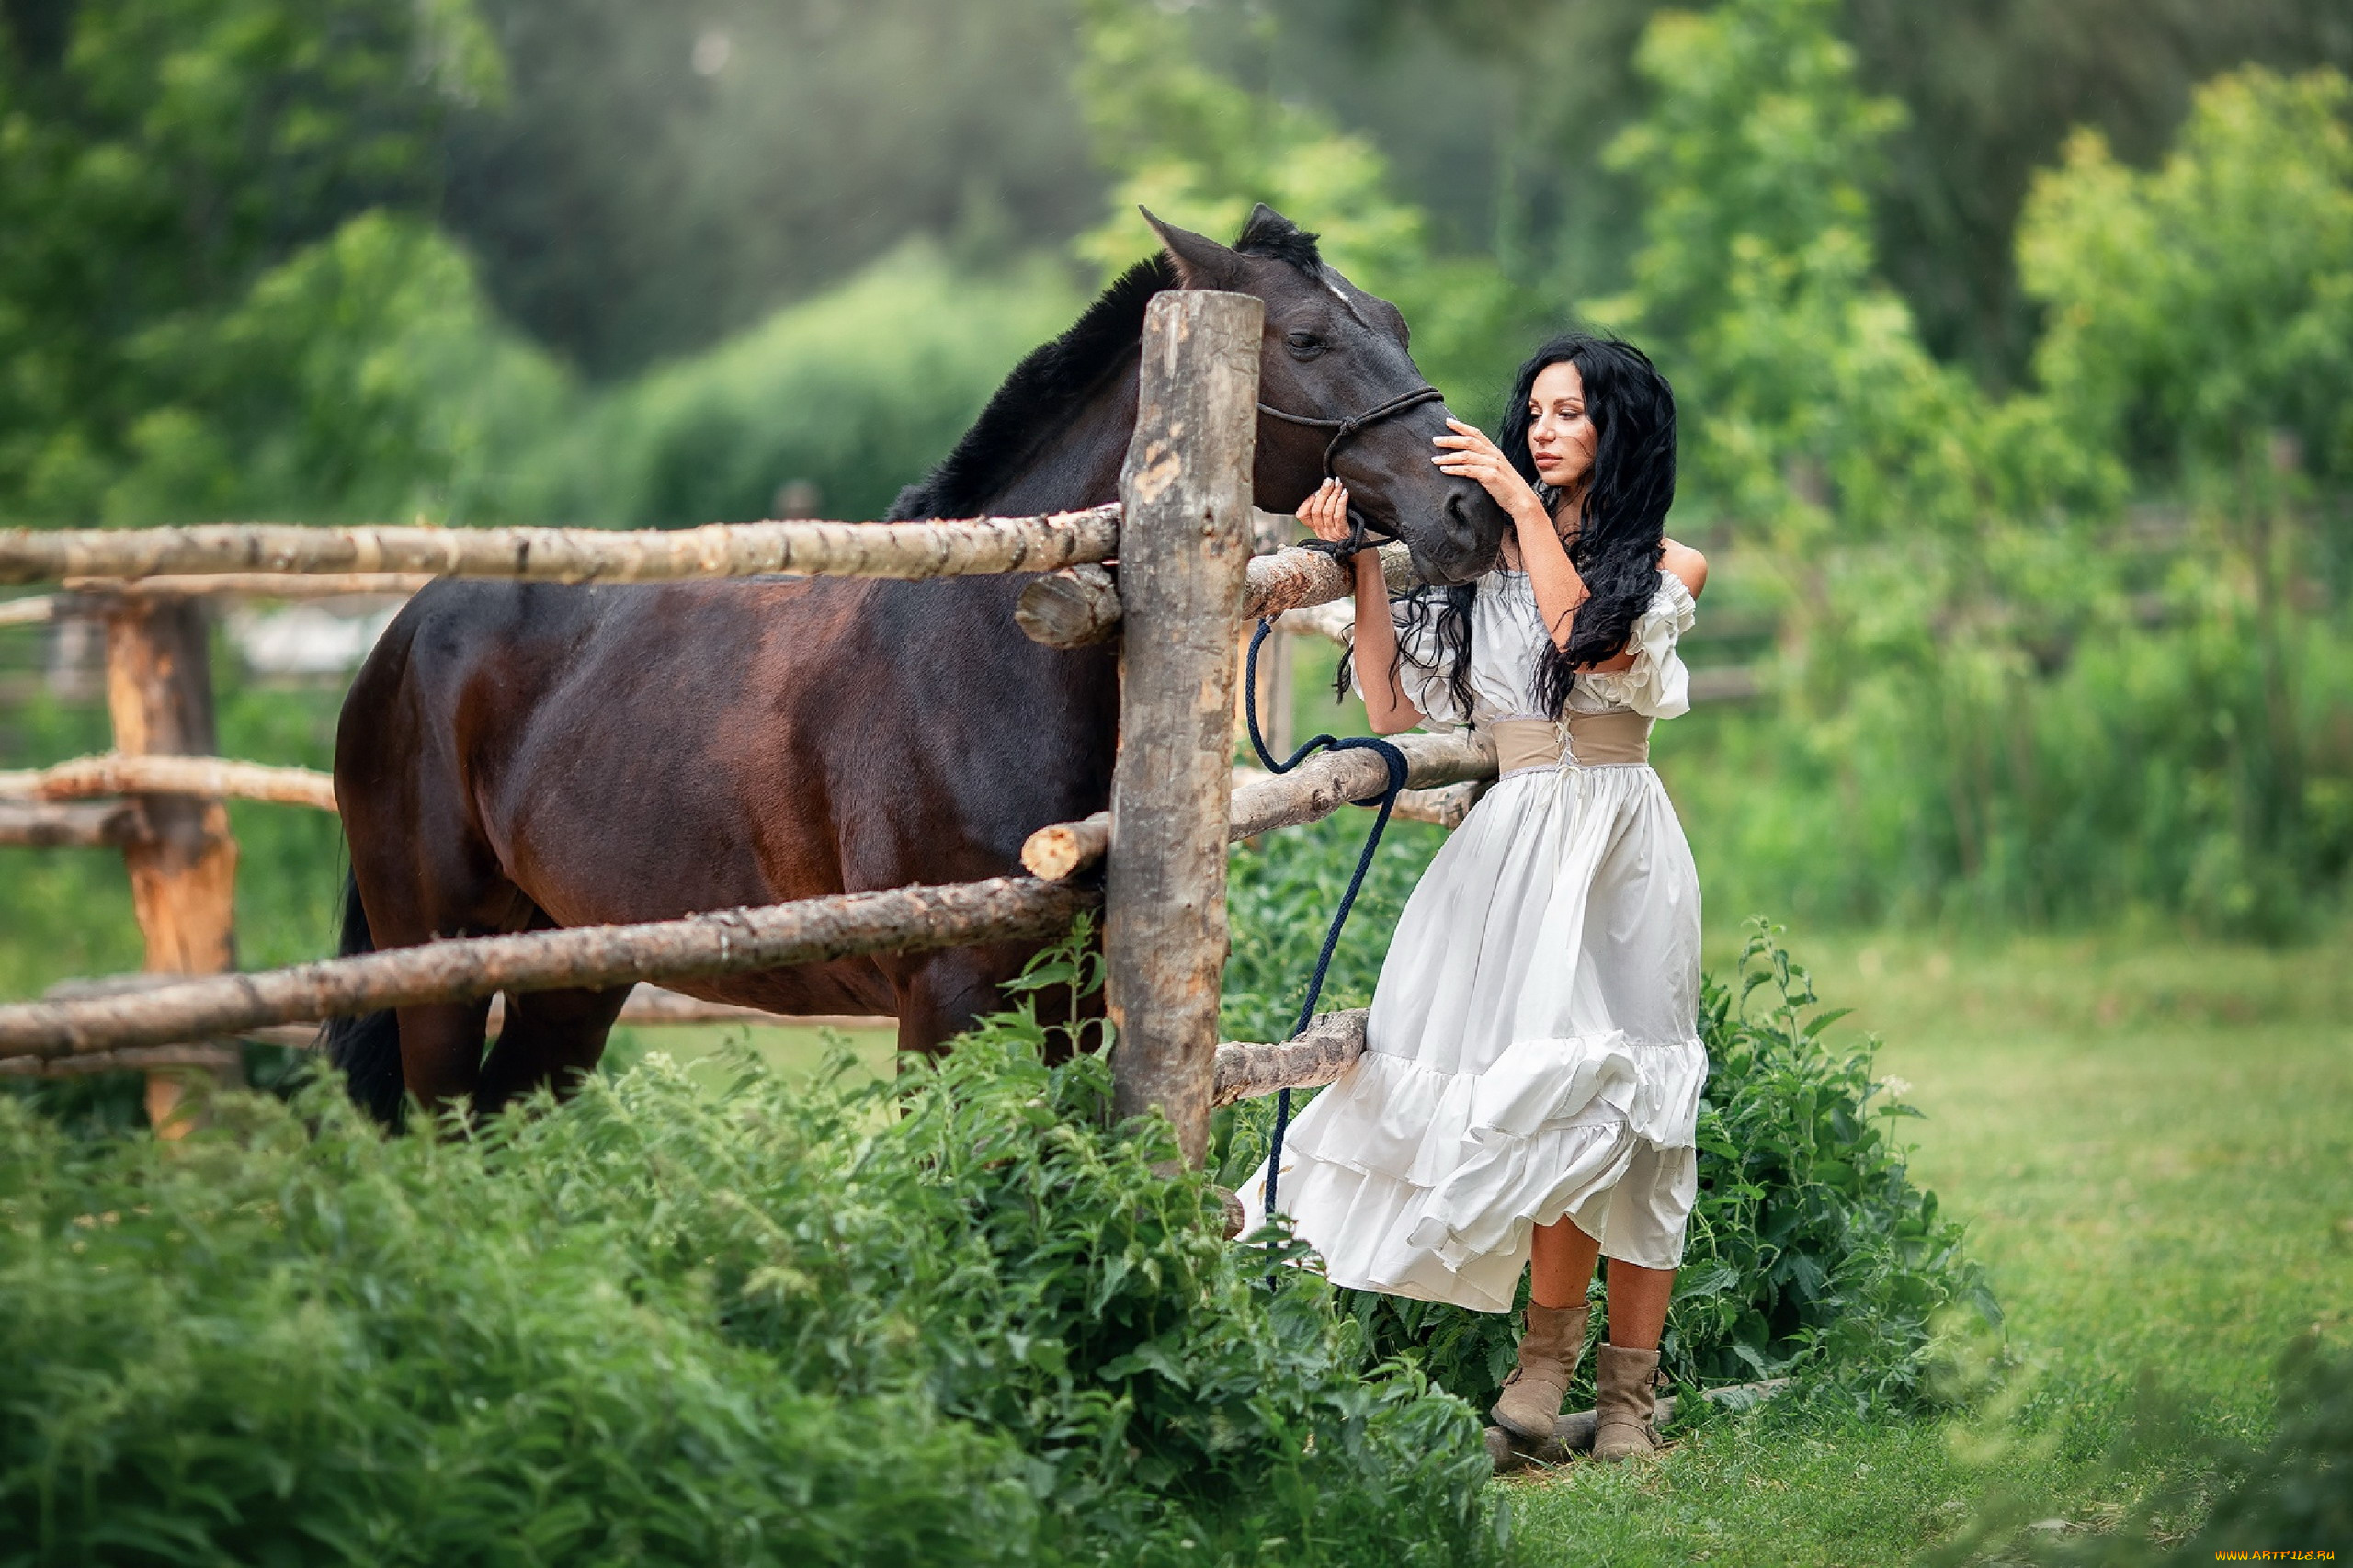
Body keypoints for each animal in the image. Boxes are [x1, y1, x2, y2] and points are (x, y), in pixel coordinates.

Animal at [326, 207, 1506, 1116]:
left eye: (1392, 322)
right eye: (1305, 337)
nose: (1475, 509)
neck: (986, 656)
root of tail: (403, 636)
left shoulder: (1072, 999)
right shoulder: (948, 998)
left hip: (571, 971)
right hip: (436, 962)